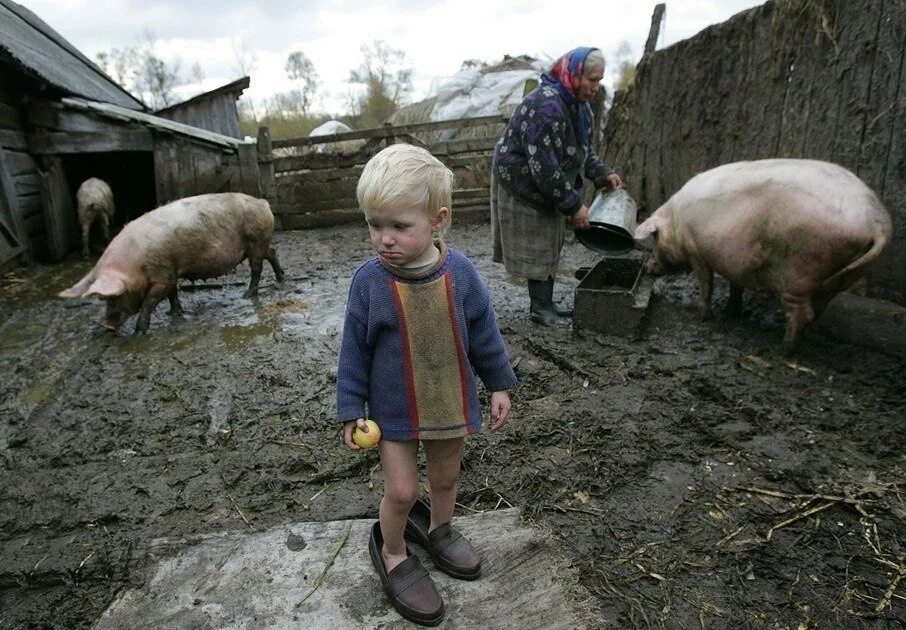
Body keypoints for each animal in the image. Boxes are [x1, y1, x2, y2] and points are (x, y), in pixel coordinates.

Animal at [58, 193, 284, 334]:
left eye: (113, 297)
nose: (106, 326)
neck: (136, 262)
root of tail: (262, 203)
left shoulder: (162, 273)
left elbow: (151, 301)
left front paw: (139, 332)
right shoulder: (170, 269)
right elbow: (172, 293)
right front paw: (173, 314)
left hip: (256, 241)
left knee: (257, 269)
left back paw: (248, 294)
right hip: (259, 243)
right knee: (272, 253)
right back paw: (281, 279)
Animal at [632, 159, 892, 356]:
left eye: (655, 238)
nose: (648, 267)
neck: (676, 221)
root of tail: (877, 223)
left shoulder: (697, 253)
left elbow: (706, 285)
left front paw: (703, 317)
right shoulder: (734, 260)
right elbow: (735, 285)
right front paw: (732, 313)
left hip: (800, 270)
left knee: (802, 313)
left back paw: (783, 351)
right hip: (839, 276)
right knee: (817, 310)